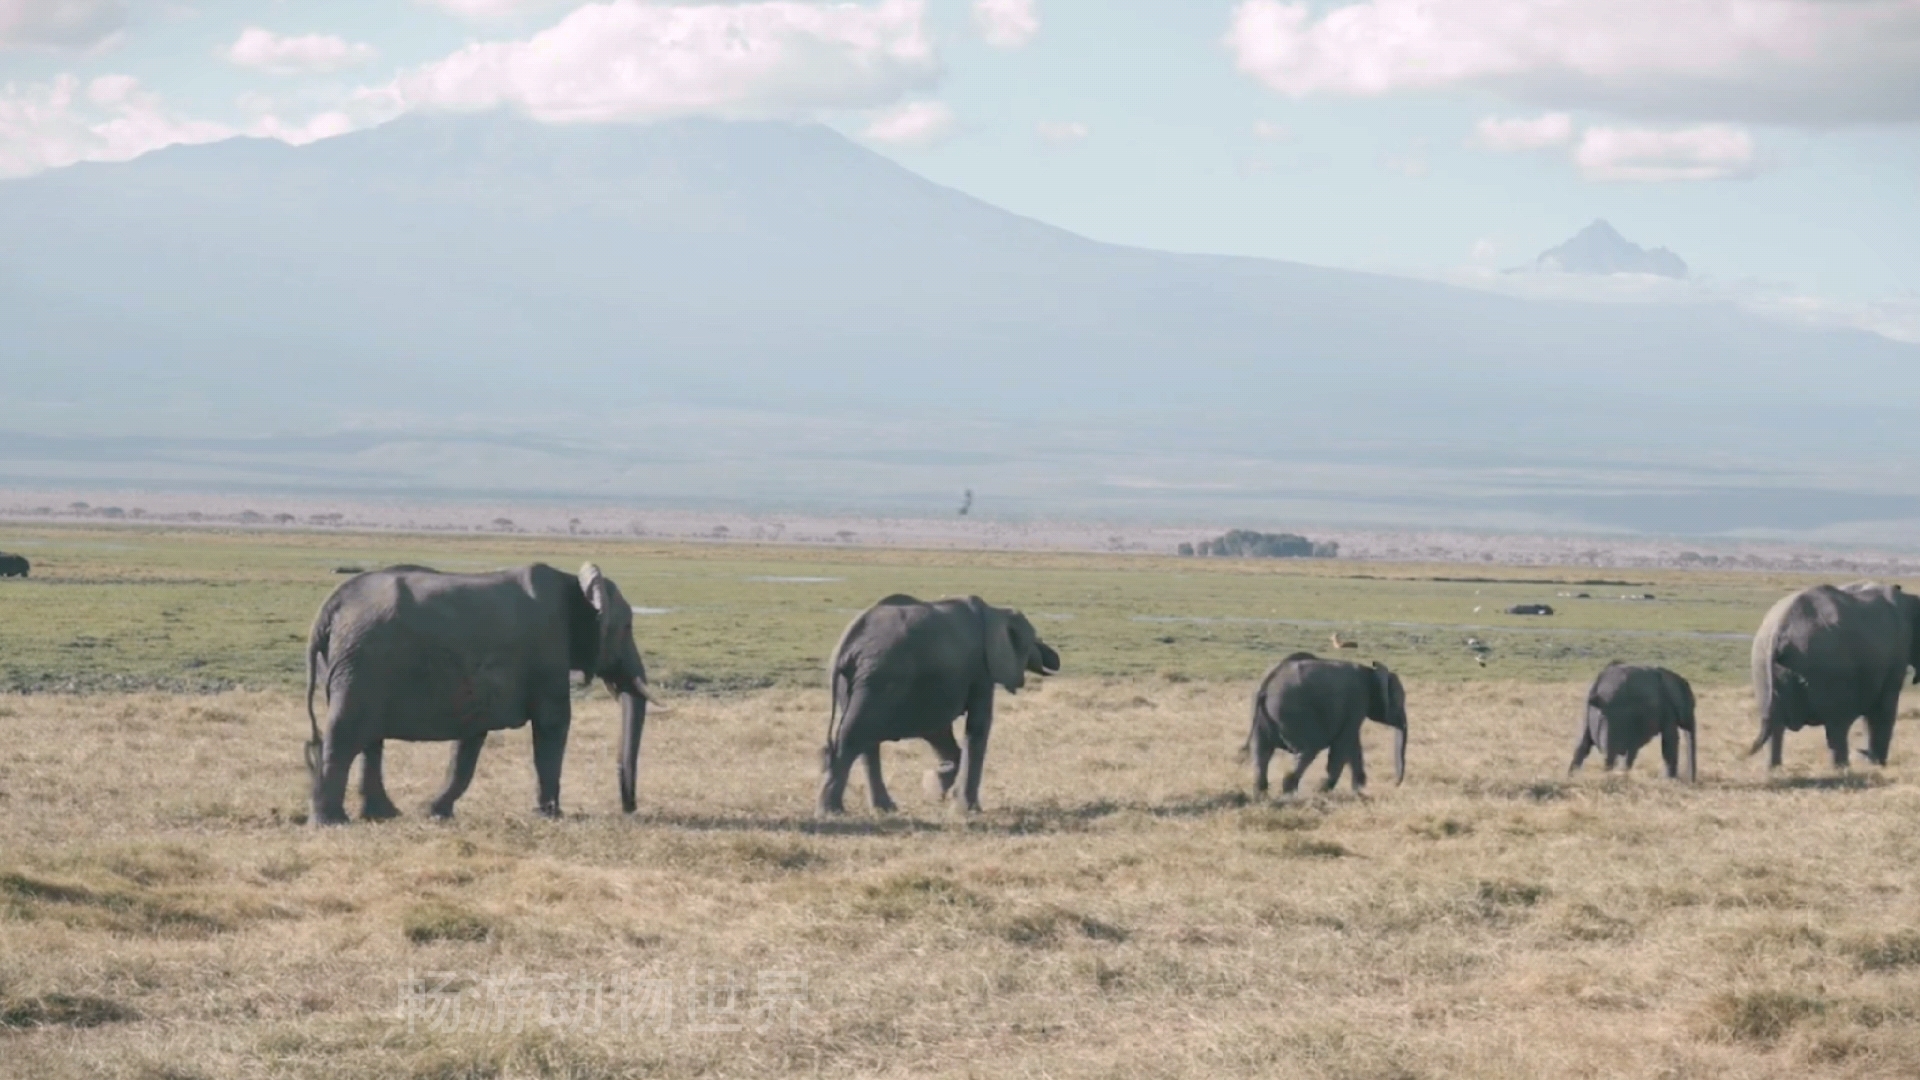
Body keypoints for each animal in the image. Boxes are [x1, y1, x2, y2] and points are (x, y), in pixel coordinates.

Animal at [301, 557, 660, 818]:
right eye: (627, 627)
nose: (629, 809)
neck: (574, 584)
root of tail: (331, 606)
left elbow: (470, 740)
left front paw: (436, 812)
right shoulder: (547, 653)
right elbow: (553, 724)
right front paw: (550, 815)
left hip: (358, 665)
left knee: (369, 739)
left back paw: (383, 815)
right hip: (360, 661)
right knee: (345, 733)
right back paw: (332, 822)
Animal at [821, 591, 1067, 810]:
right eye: (1032, 640)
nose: (1056, 658)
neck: (996, 612)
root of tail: (847, 643)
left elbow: (938, 732)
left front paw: (933, 786)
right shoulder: (981, 670)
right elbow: (977, 727)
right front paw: (968, 809)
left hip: (858, 681)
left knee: (865, 742)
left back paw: (884, 808)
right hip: (878, 677)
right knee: (854, 737)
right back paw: (832, 811)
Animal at [1251, 645, 1405, 791]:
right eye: (1399, 702)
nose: (1395, 784)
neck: (1371, 672)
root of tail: (1267, 682)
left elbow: (1353, 744)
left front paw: (1359, 789)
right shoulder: (1357, 701)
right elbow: (1343, 744)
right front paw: (1323, 789)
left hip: (1263, 717)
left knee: (1261, 753)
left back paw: (1263, 793)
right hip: (1291, 712)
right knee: (1308, 749)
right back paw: (1290, 788)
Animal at [1758, 580, 1920, 764]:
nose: (1863, 753)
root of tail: (1781, 631)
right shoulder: (1897, 653)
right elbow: (1884, 708)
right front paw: (1877, 765)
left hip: (1762, 665)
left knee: (1775, 727)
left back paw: (1774, 768)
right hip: (1828, 667)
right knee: (1837, 726)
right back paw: (1844, 767)